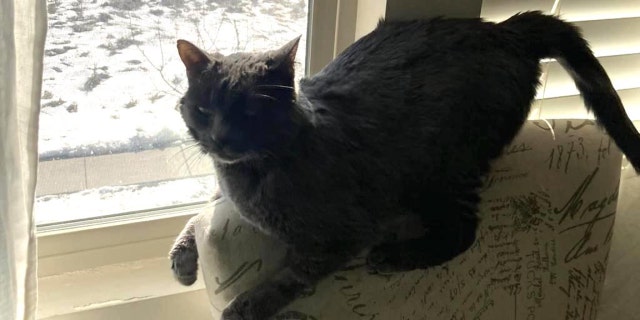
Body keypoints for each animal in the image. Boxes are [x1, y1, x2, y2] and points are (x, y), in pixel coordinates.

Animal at [170, 11, 640, 318]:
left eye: (250, 112)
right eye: (204, 109)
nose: (220, 138)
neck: (250, 173)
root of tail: (504, 30)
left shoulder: (343, 234)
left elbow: (294, 273)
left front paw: (247, 305)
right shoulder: (219, 188)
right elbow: (197, 211)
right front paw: (183, 261)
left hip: (448, 166)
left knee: (463, 232)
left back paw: (394, 256)